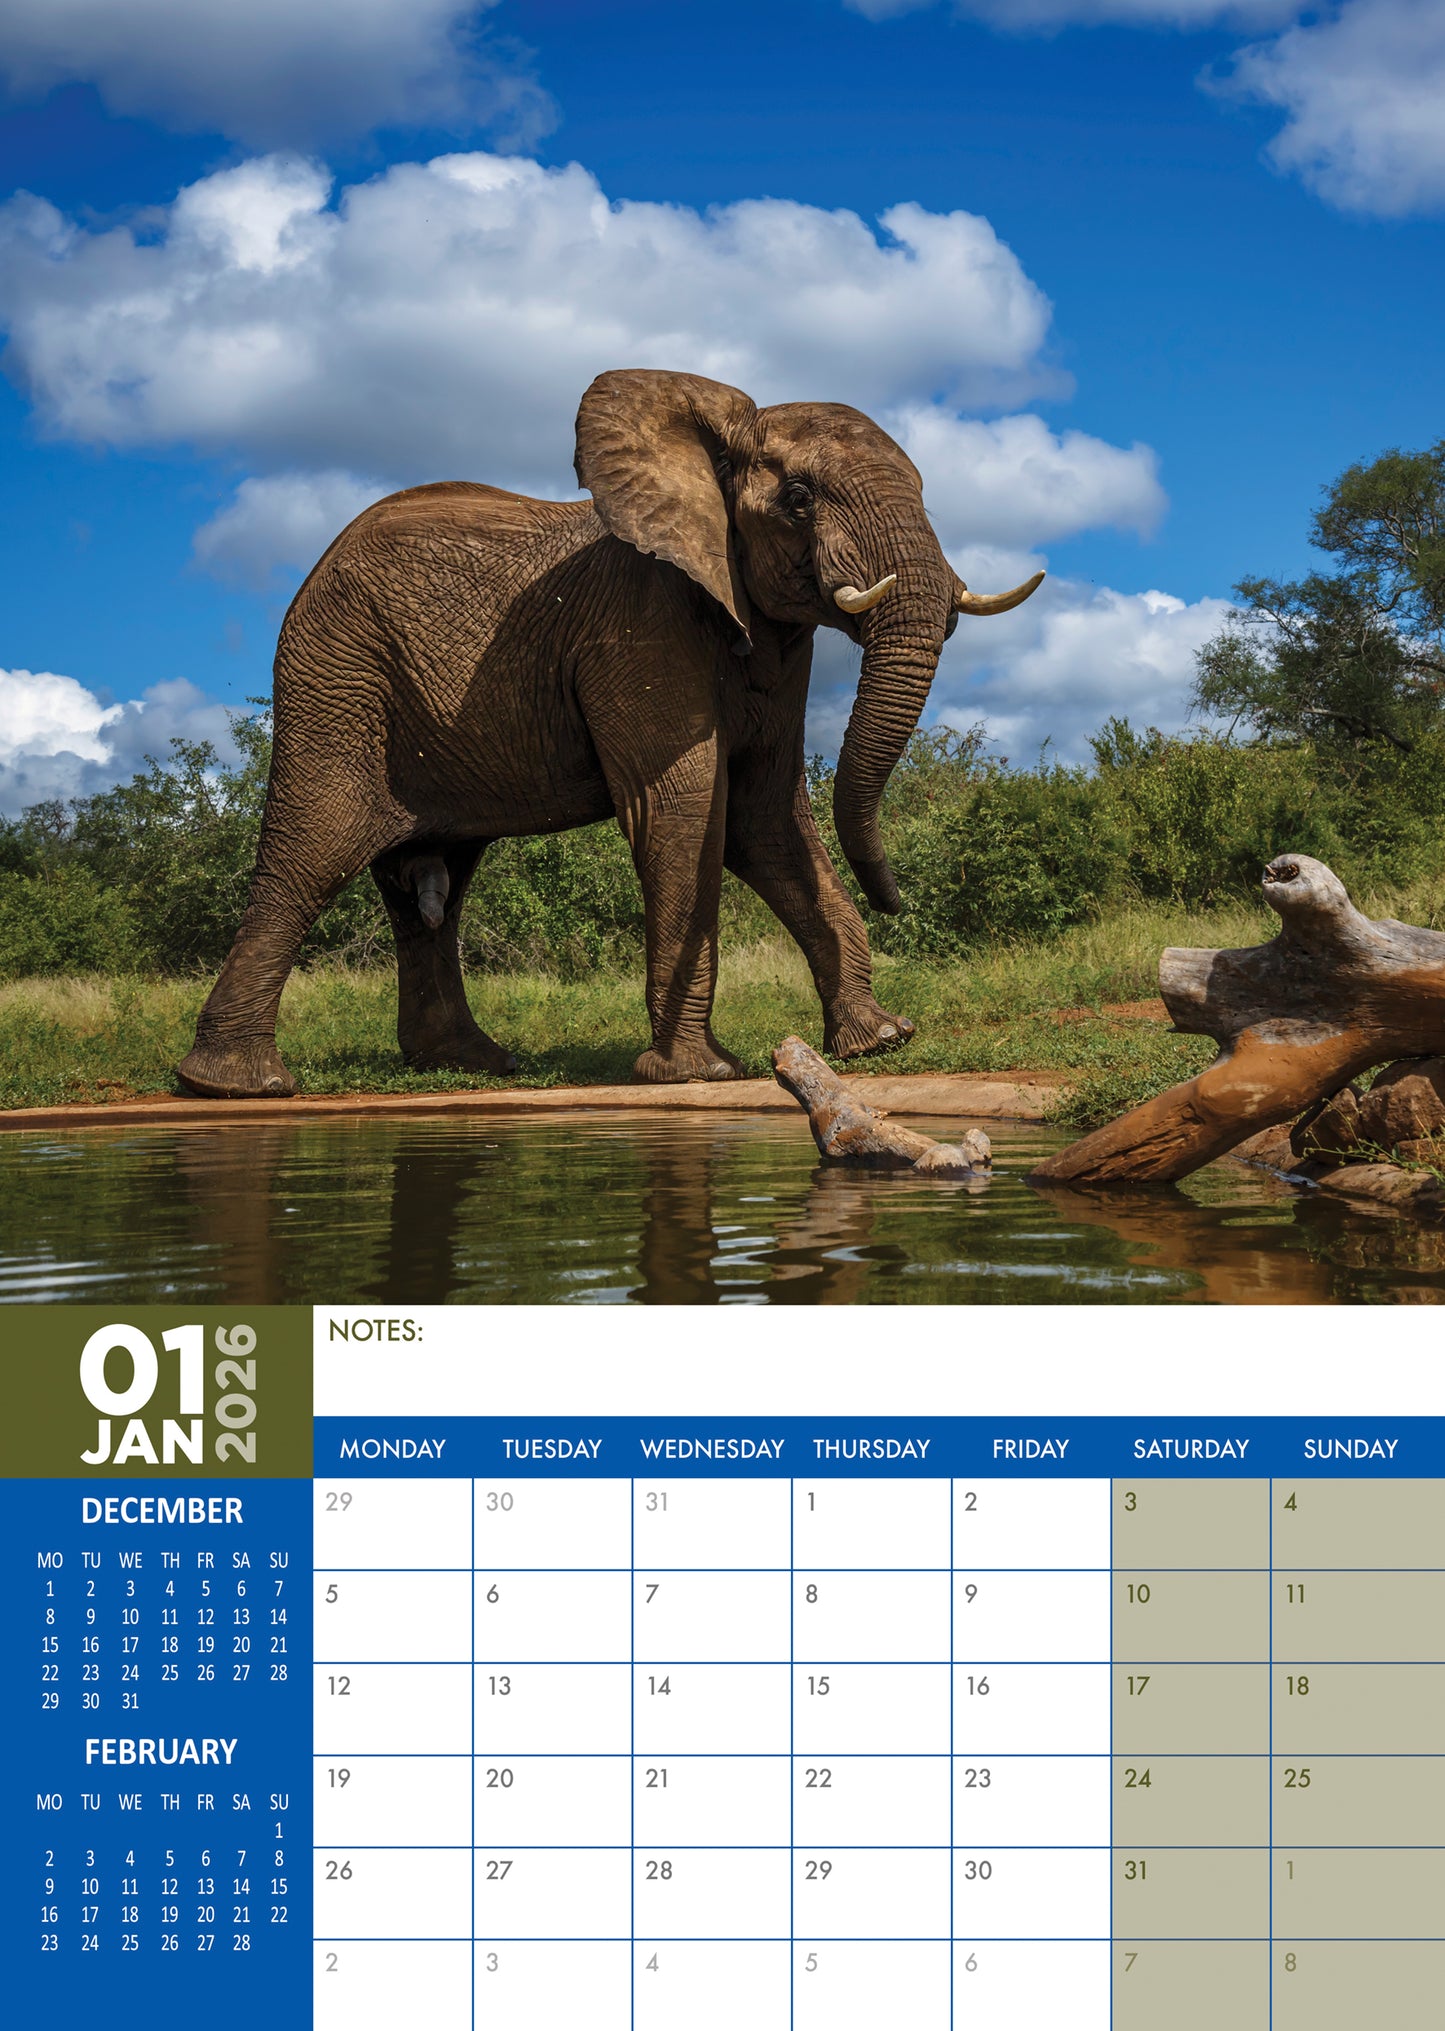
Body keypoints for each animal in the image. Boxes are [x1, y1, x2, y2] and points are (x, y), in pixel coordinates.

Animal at [176, 369, 1042, 1097]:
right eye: (798, 496)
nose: (900, 899)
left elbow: (764, 820)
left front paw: (881, 1041)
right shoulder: (639, 624)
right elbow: (684, 808)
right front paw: (697, 1072)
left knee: (433, 889)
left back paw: (472, 1064)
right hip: (336, 679)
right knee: (309, 858)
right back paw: (239, 1086)